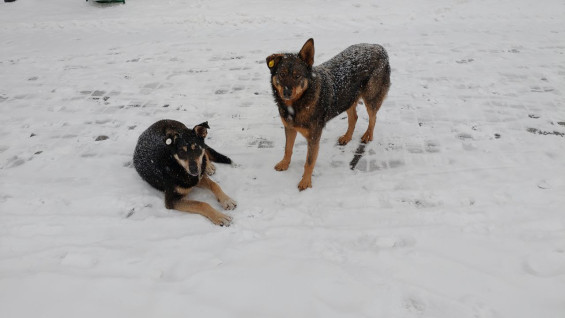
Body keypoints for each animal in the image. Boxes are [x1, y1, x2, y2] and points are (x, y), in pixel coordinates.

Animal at [266, 38, 390, 190]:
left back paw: (368, 135)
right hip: (347, 99)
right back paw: (347, 137)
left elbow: (309, 162)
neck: (297, 104)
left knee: (373, 118)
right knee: (354, 118)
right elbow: (287, 149)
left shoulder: (314, 137)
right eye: (282, 74)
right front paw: (284, 163)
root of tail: (377, 46)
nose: (287, 92)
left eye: (297, 76)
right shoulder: (289, 128)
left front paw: (305, 182)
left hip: (371, 99)